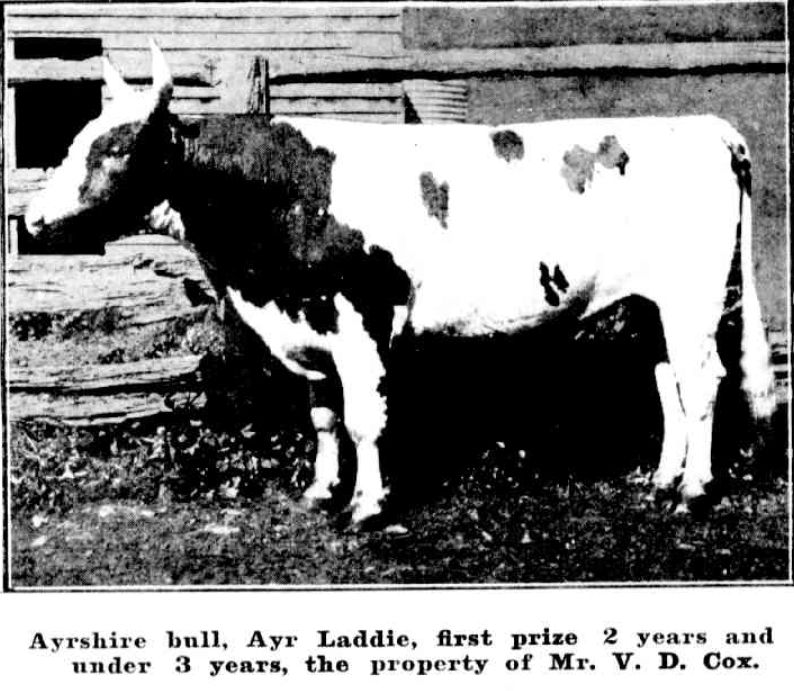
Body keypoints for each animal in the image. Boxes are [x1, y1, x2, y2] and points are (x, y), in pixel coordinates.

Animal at [26, 43, 772, 524]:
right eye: (76, 139)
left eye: (116, 148)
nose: (29, 217)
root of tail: (704, 126)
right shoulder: (310, 326)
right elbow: (324, 417)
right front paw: (321, 491)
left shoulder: (361, 320)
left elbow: (364, 419)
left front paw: (366, 504)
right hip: (649, 303)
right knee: (668, 381)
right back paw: (662, 478)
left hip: (694, 295)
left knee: (703, 381)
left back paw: (695, 489)